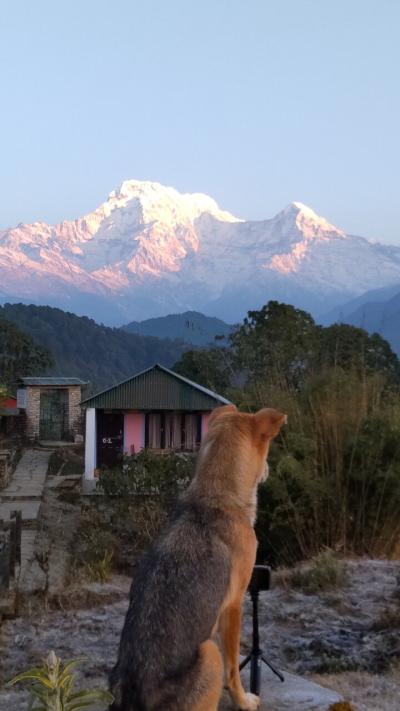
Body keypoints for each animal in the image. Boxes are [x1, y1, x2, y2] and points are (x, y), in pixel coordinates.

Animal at [108, 406, 286, 711]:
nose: (269, 470)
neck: (214, 491)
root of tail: (137, 697)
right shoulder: (234, 605)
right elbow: (233, 669)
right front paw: (244, 700)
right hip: (210, 650)